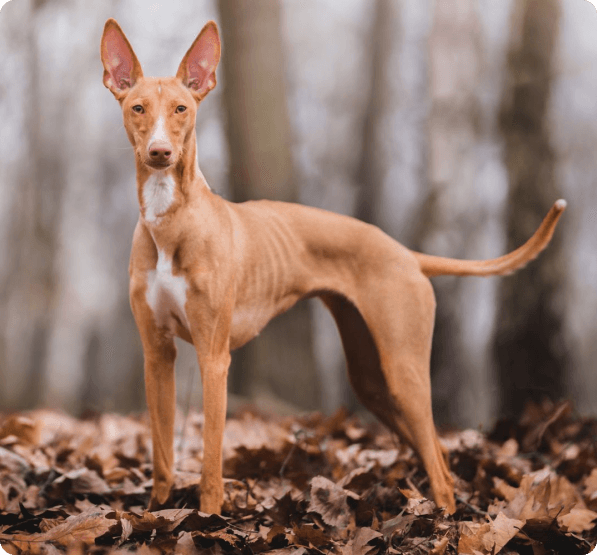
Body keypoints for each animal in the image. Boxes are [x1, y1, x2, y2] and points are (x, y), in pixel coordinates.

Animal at [100, 17, 564, 516]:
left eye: (182, 109)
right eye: (138, 108)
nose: (160, 152)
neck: (171, 221)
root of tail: (406, 253)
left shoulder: (214, 357)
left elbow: (209, 460)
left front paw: (207, 519)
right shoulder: (157, 354)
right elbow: (163, 456)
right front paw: (158, 514)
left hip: (403, 371)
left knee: (440, 470)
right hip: (371, 380)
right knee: (438, 456)